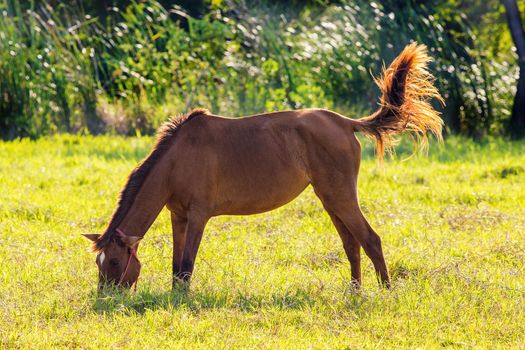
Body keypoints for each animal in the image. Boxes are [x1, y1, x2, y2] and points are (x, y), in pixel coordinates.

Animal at [85, 43, 442, 290]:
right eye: (99, 264)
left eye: (114, 261)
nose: (107, 297)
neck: (177, 158)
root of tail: (343, 122)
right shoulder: (178, 217)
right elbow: (176, 267)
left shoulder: (199, 216)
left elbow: (186, 265)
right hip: (329, 198)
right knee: (351, 243)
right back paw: (355, 291)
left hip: (340, 197)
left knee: (370, 239)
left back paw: (385, 291)